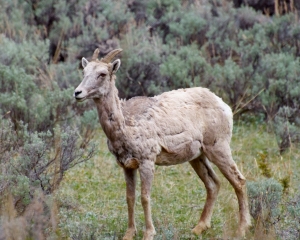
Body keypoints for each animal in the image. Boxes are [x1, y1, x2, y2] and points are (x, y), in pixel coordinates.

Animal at [74, 48, 252, 240]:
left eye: (102, 74)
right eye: (84, 72)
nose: (78, 93)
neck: (126, 127)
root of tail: (225, 107)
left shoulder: (147, 161)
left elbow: (145, 197)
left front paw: (149, 233)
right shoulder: (127, 165)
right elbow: (130, 197)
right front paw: (129, 234)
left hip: (219, 147)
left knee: (239, 180)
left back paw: (242, 229)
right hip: (198, 156)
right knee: (213, 183)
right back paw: (198, 228)